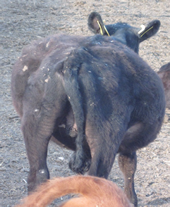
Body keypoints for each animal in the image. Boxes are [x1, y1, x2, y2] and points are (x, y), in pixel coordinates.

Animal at [10, 11, 165, 207]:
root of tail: (75, 58)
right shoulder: (127, 144)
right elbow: (129, 167)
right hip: (106, 136)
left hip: (36, 123)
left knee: (38, 176)